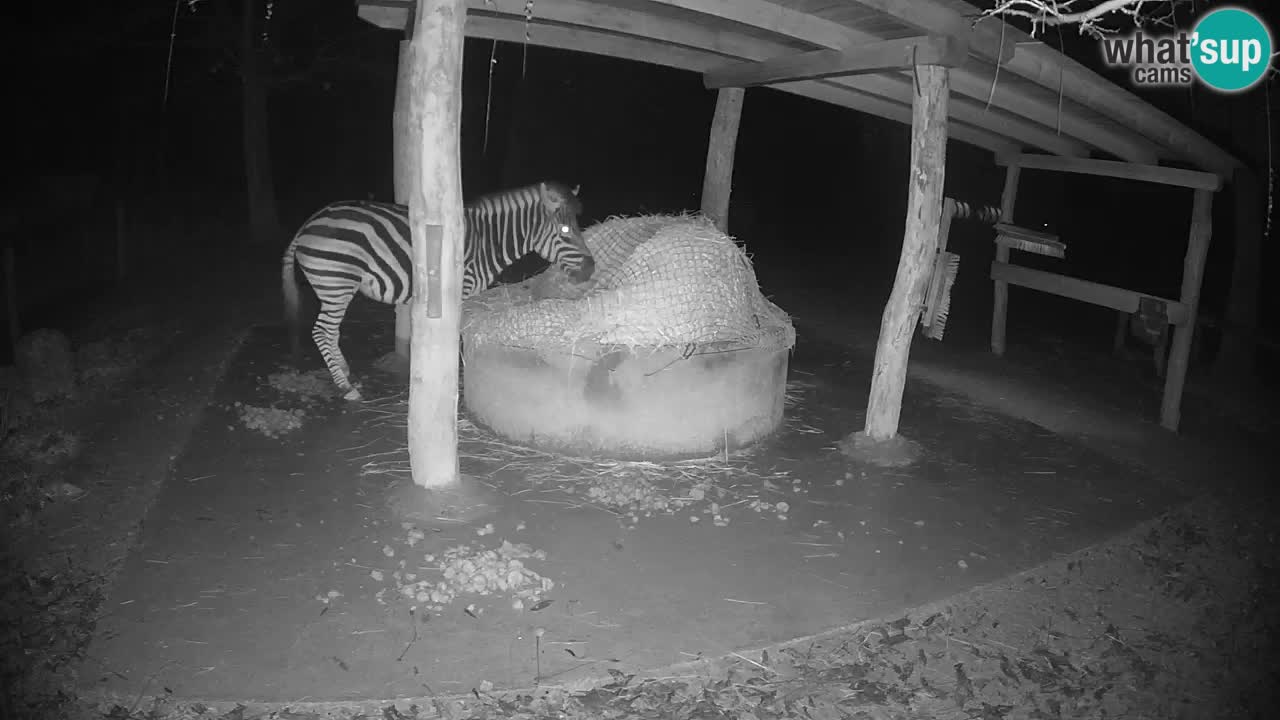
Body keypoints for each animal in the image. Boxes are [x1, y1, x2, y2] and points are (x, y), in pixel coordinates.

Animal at [282, 181, 594, 400]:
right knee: (321, 331)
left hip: (334, 287)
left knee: (330, 332)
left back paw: (345, 372)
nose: (591, 270)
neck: (487, 241)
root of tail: (308, 224)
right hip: (337, 282)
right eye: (566, 231)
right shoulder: (461, 289)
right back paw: (345, 387)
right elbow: (456, 333)